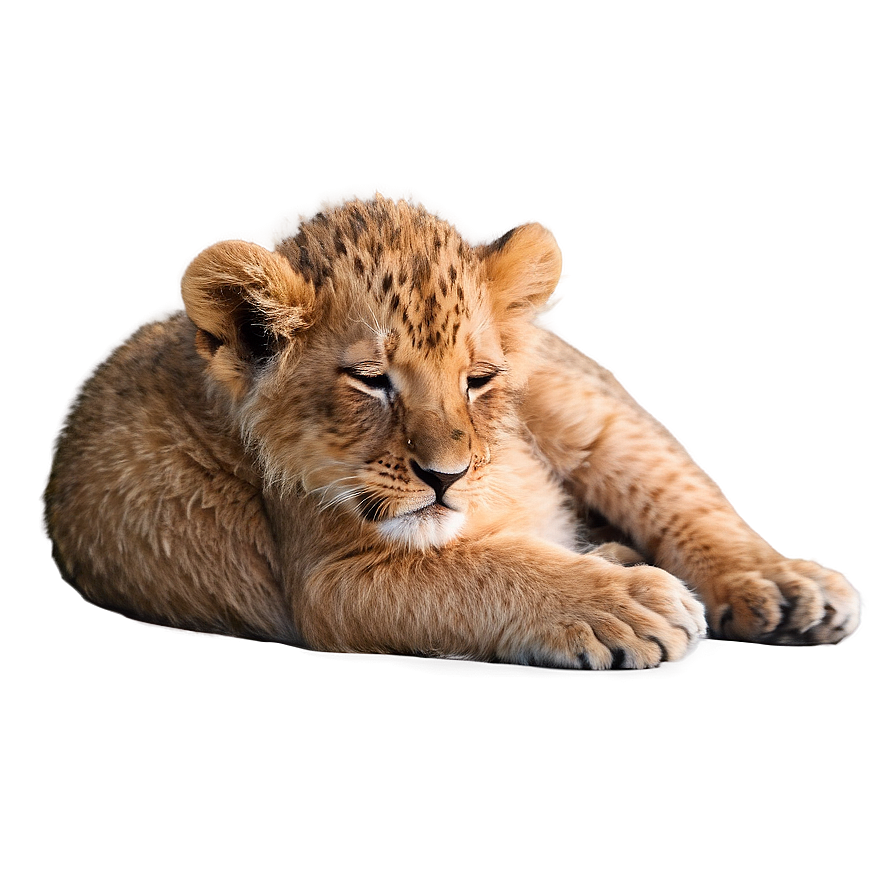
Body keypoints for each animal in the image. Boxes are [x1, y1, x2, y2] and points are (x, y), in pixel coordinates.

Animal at [42, 195, 860, 668]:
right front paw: (622, 604)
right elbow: (485, 570)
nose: (447, 477)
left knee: (674, 486)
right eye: (370, 380)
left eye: (478, 379)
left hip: (573, 400)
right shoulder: (328, 579)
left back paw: (777, 587)